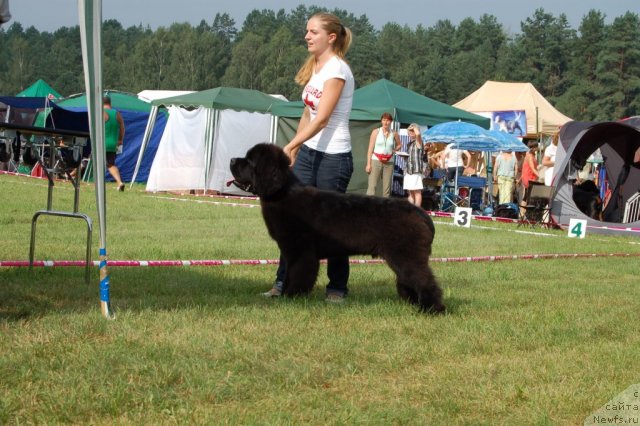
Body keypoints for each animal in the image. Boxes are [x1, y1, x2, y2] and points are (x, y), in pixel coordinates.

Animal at [230, 143, 444, 312]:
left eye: (250, 161)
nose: (232, 160)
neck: (282, 194)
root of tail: (422, 213)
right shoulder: (291, 251)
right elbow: (290, 273)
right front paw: (284, 295)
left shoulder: (301, 251)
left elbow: (299, 274)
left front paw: (292, 297)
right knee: (409, 279)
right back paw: (413, 303)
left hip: (407, 255)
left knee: (424, 280)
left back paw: (433, 309)